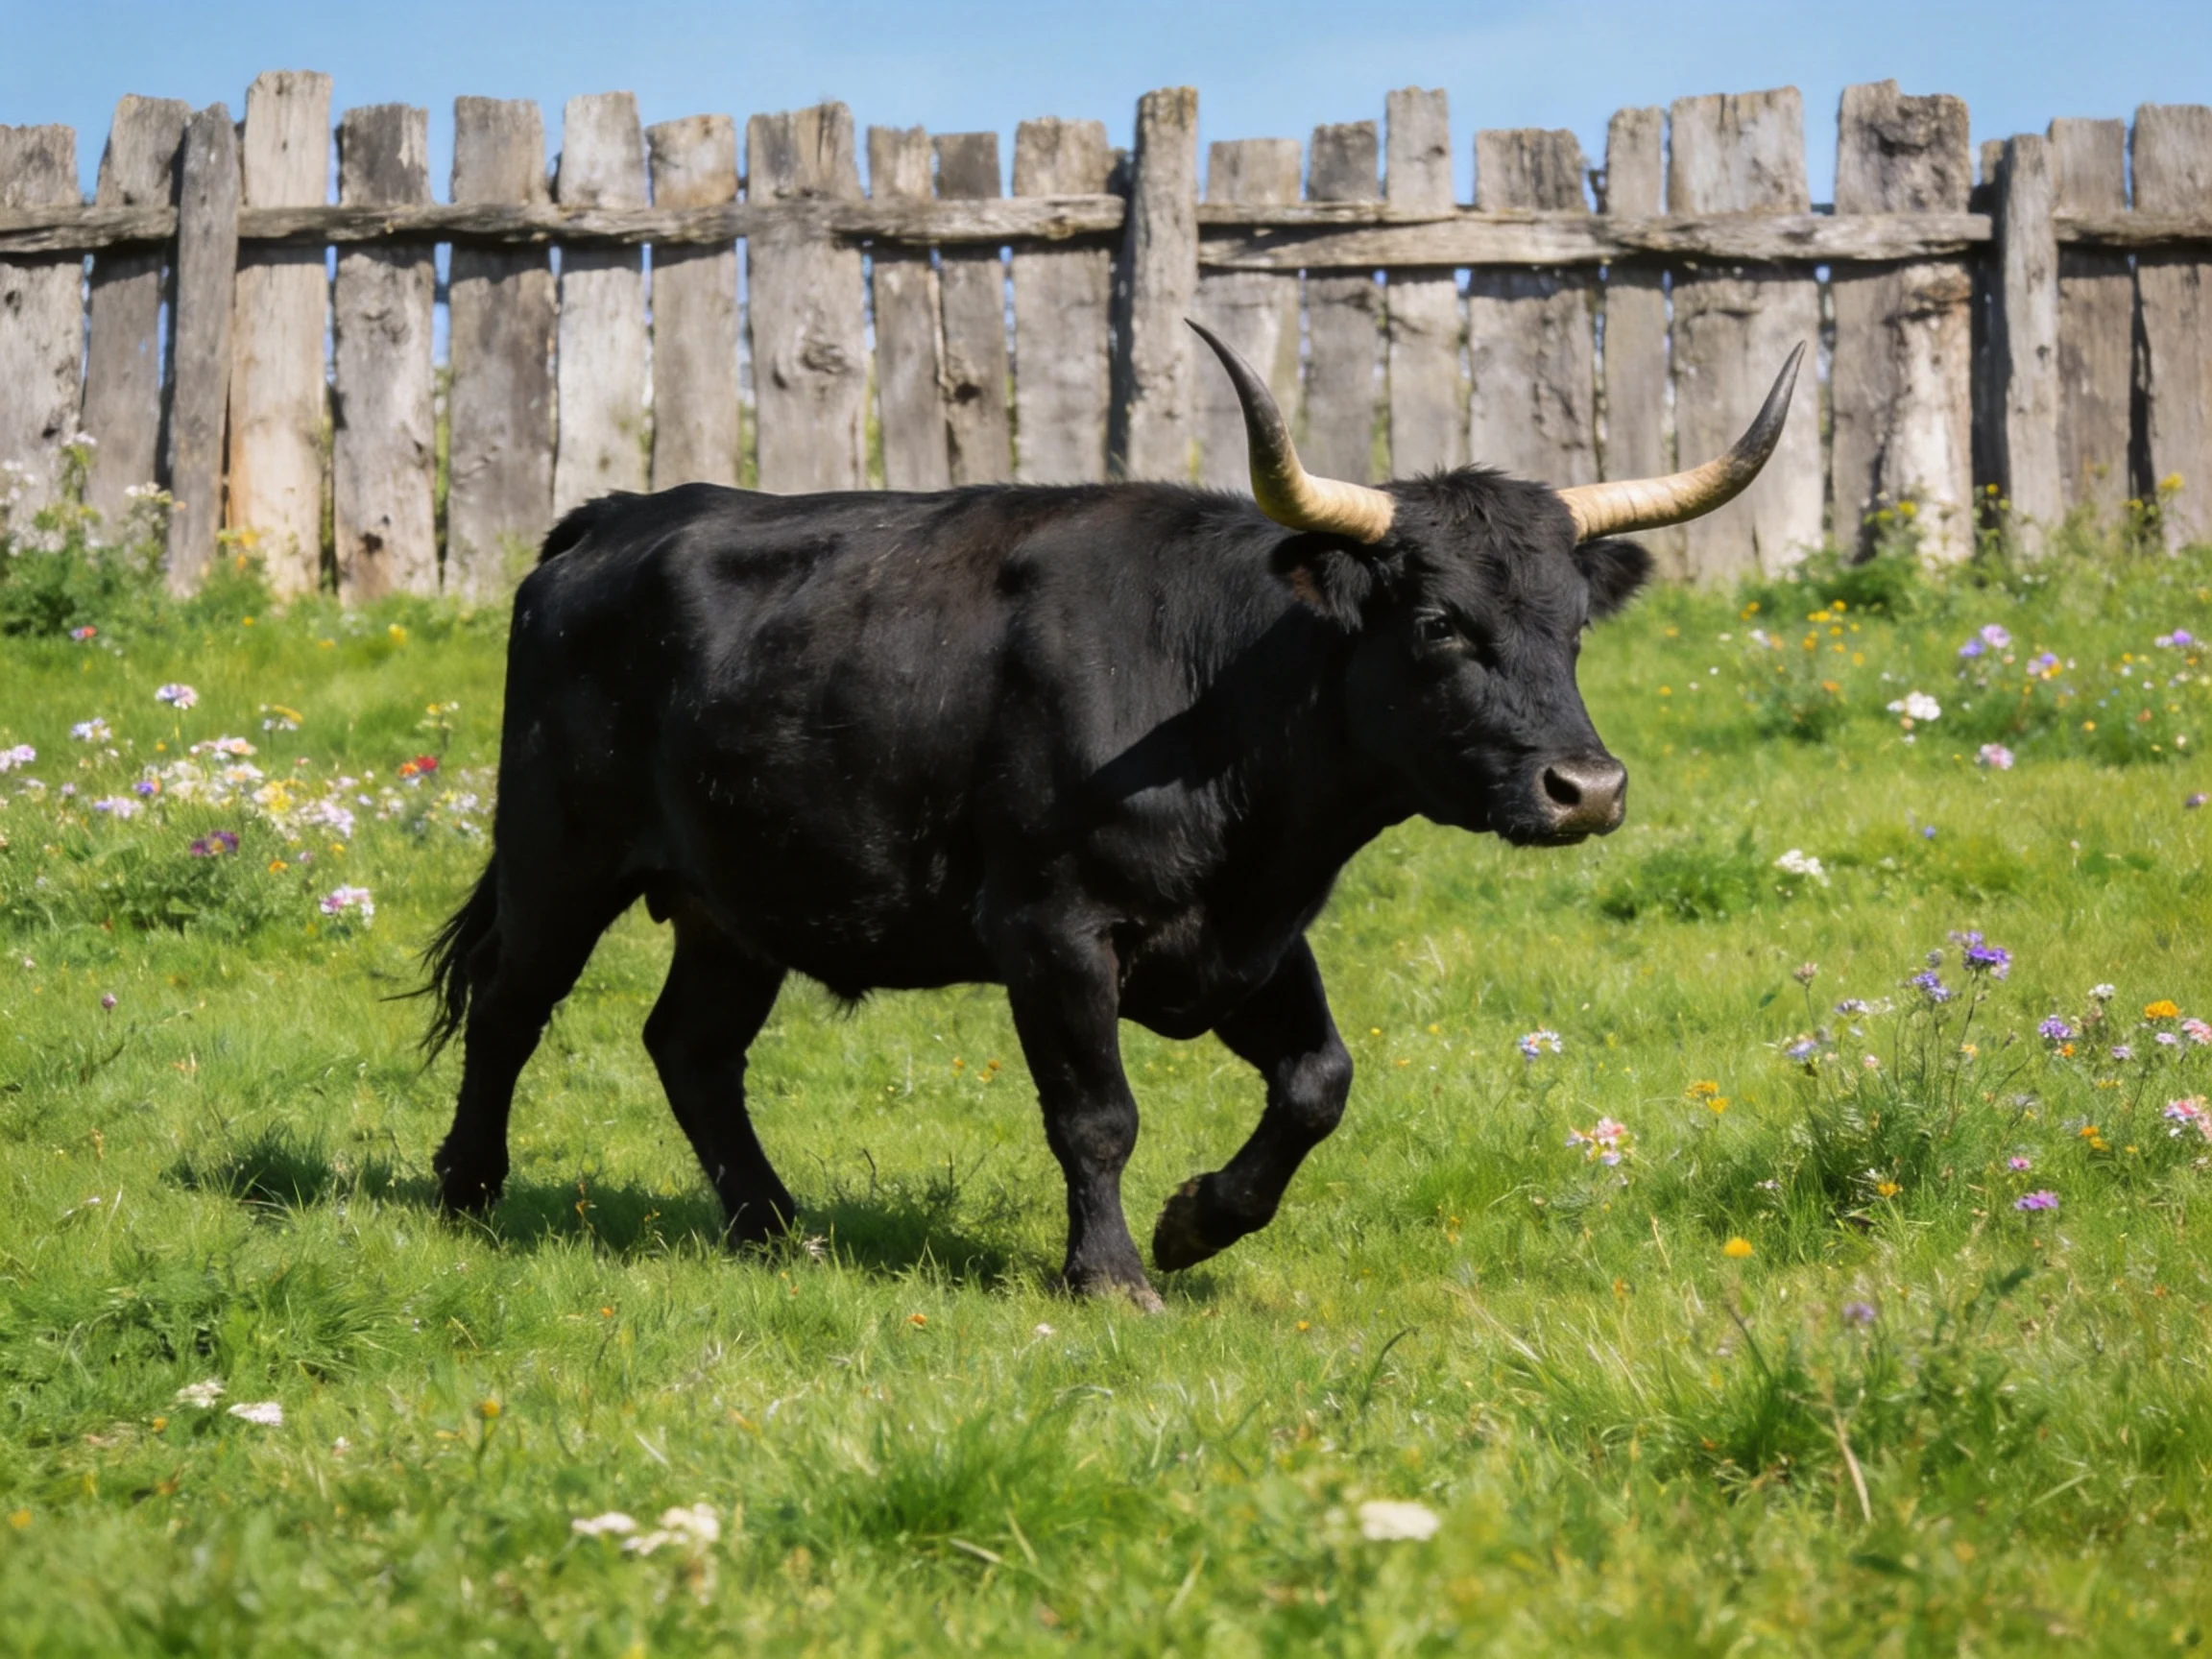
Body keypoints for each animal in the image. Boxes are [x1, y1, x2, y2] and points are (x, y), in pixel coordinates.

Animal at [422, 323, 1800, 1309]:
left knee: (691, 1050)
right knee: (508, 1011)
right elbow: (1097, 1115)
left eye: (1571, 628)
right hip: (557, 854)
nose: (1588, 790)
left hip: (738, 900)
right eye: (1440, 624)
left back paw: (773, 1230)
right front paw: (1113, 1276)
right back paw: (466, 1194)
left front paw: (1199, 1224)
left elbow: (1320, 1081)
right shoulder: (1053, 929)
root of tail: (614, 518)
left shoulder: (1249, 940)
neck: (1218, 694)